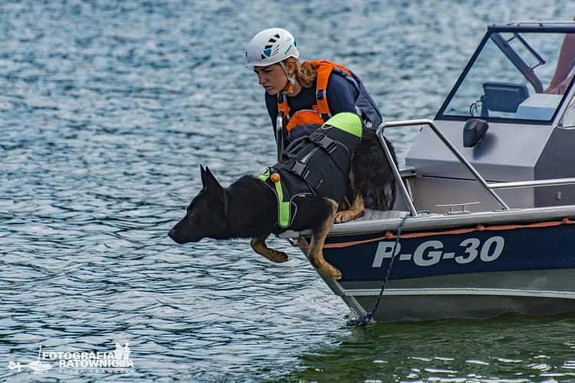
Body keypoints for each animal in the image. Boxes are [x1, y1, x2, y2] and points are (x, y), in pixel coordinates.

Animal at [169, 115, 398, 280]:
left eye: (193, 214)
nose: (170, 233)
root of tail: (375, 132)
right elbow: (255, 243)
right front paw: (277, 256)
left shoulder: (324, 207)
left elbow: (314, 254)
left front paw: (331, 271)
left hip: (357, 162)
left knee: (359, 201)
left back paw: (348, 213)